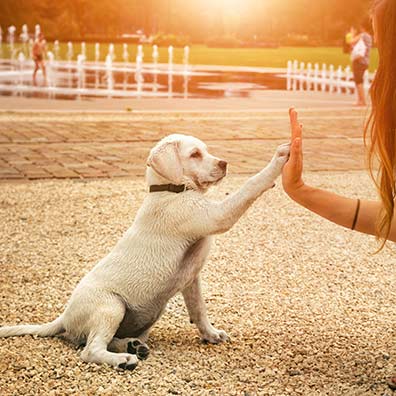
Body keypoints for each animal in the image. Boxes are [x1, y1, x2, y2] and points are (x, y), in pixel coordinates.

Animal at [0, 135, 290, 370]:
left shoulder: (191, 278)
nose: (225, 163)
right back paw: (123, 359)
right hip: (111, 306)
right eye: (195, 154)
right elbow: (249, 186)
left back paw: (132, 346)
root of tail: (64, 316)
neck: (170, 190)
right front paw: (278, 159)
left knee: (103, 341)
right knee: (90, 351)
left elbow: (199, 310)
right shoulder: (216, 215)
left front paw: (210, 334)